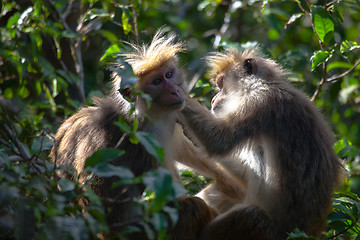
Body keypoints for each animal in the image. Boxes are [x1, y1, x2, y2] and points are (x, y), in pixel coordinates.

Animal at [179, 47, 344, 239]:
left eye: (221, 84)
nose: (213, 99)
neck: (262, 84)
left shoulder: (259, 100)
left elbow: (218, 141)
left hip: (267, 231)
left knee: (250, 215)